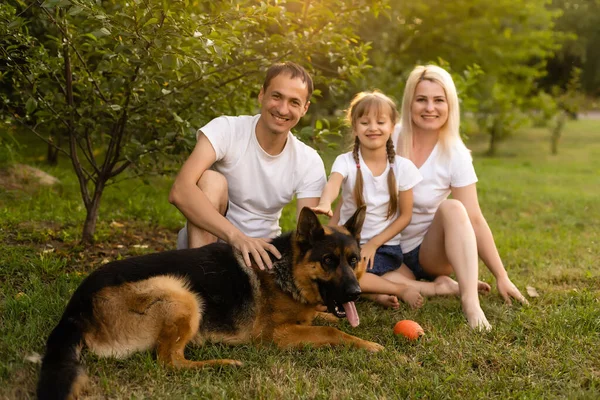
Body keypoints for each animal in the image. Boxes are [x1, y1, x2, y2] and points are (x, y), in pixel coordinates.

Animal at [38, 208, 384, 398]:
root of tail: (75, 308)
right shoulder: (276, 336)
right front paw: (370, 345)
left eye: (353, 260)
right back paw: (222, 364)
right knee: (169, 361)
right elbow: (332, 332)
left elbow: (326, 321)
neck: (287, 270)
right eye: (328, 261)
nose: (355, 293)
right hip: (181, 293)